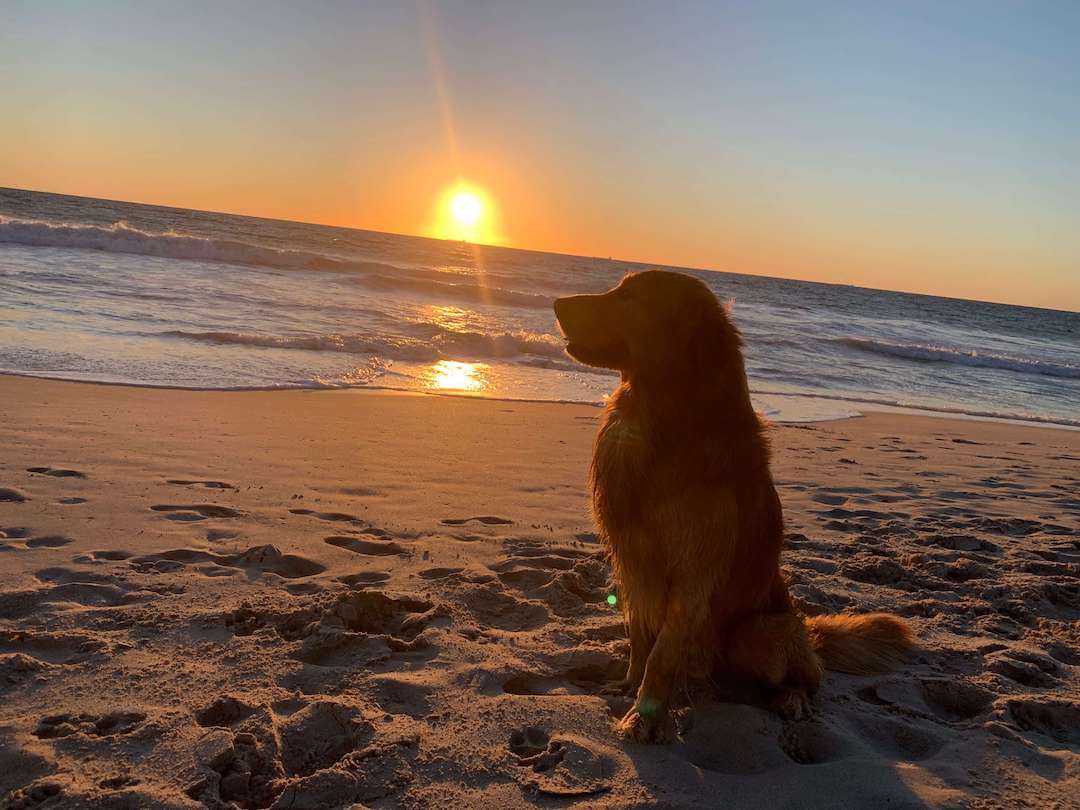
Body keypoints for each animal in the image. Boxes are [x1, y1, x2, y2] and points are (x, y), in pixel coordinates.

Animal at [552, 271, 915, 743]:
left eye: (630, 297)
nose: (556, 304)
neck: (663, 413)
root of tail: (808, 633)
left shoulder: (693, 572)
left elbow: (662, 653)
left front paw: (646, 715)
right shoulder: (632, 557)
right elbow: (640, 634)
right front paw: (630, 685)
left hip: (763, 631)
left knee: (809, 680)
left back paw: (790, 698)